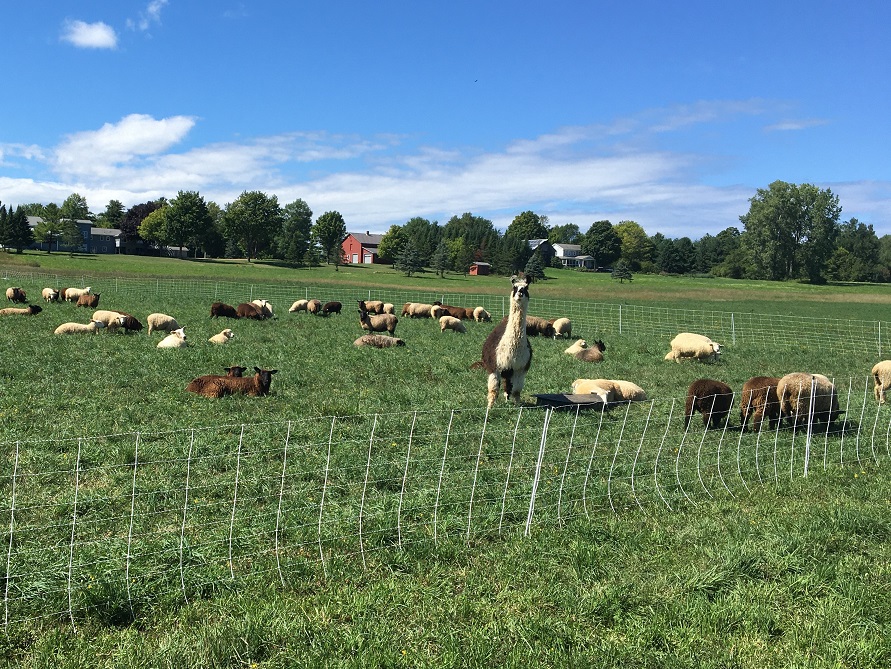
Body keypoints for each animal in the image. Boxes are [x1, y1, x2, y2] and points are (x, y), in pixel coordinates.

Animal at [484, 276, 532, 408]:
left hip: (510, 372)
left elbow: (516, 391)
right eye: (514, 287)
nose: (520, 293)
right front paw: (489, 408)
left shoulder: (520, 369)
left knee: (508, 387)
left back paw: (507, 400)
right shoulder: (495, 367)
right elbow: (493, 390)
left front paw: (518, 407)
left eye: (526, 287)